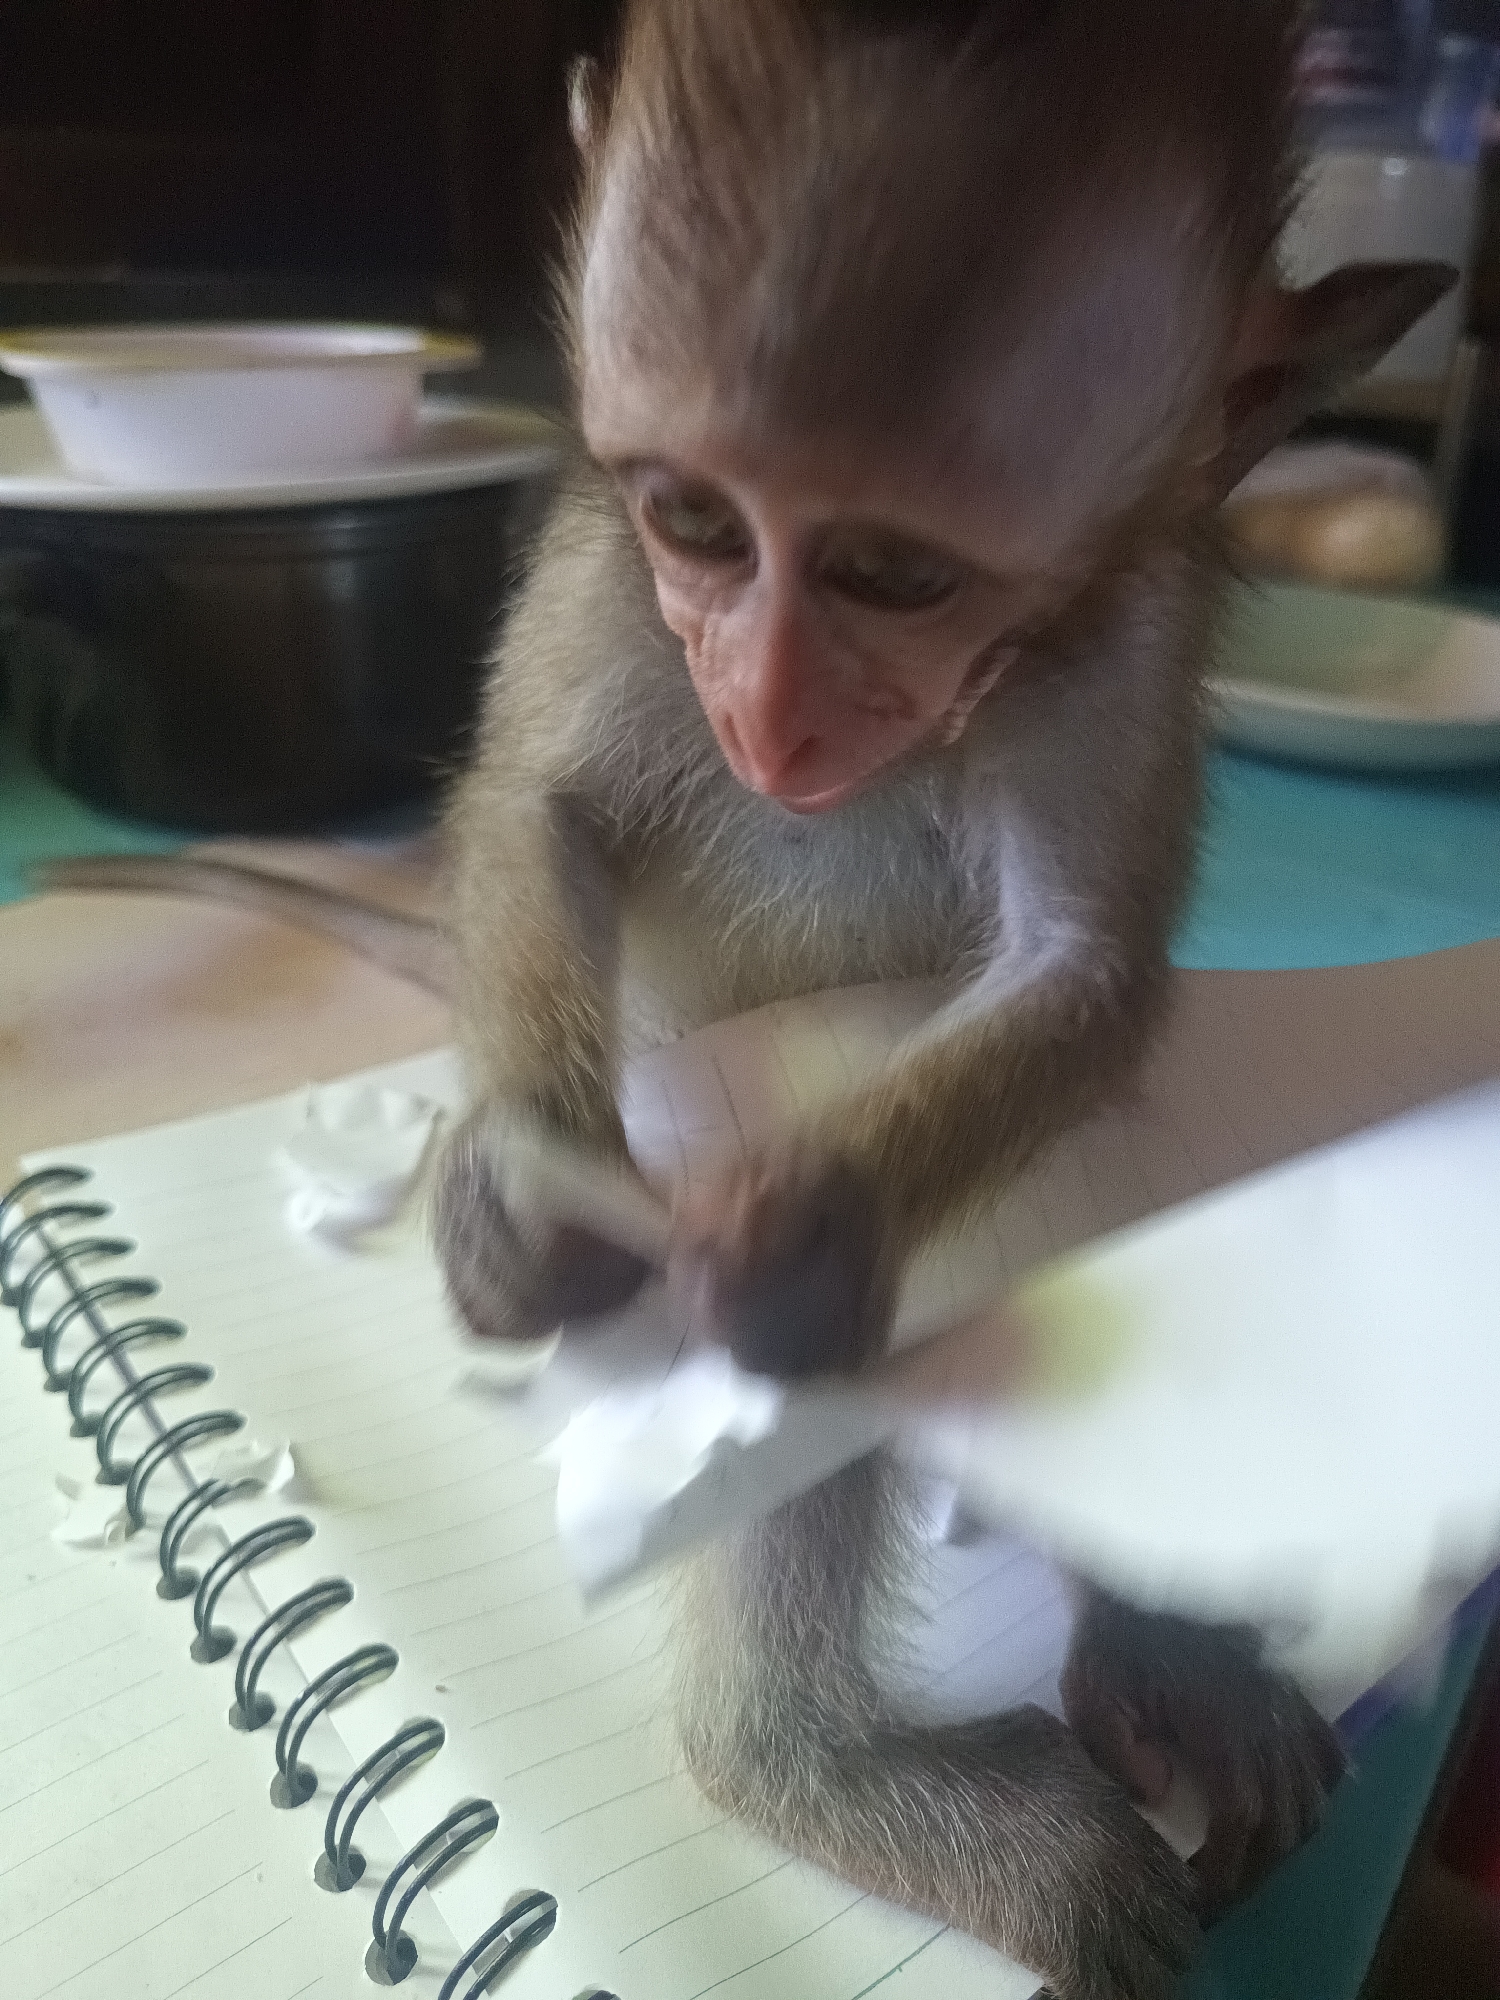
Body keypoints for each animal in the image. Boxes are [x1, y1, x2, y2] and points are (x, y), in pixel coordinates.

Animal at [37, 4, 1452, 1993]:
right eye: (698, 524)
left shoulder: (1128, 626)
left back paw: (1148, 1640)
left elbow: (1076, 977)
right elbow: (535, 811)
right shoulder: (595, 564)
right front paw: (524, 1182)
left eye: (896, 574)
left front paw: (801, 1236)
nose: (770, 714)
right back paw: (794, 1764)